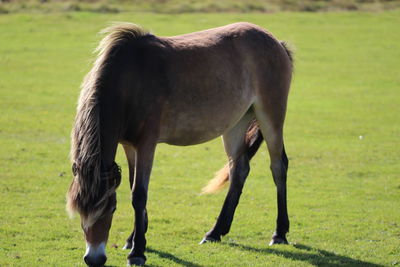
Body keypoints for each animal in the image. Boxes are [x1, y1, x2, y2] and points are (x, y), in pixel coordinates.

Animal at [66, 22, 294, 266]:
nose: (94, 258)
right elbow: (132, 187)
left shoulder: (146, 144)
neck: (130, 81)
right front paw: (133, 239)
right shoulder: (129, 145)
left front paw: (137, 251)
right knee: (238, 170)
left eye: (111, 208)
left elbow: (139, 194)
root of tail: (277, 43)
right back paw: (215, 232)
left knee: (278, 167)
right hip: (236, 123)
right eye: (79, 210)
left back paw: (279, 233)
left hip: (270, 115)